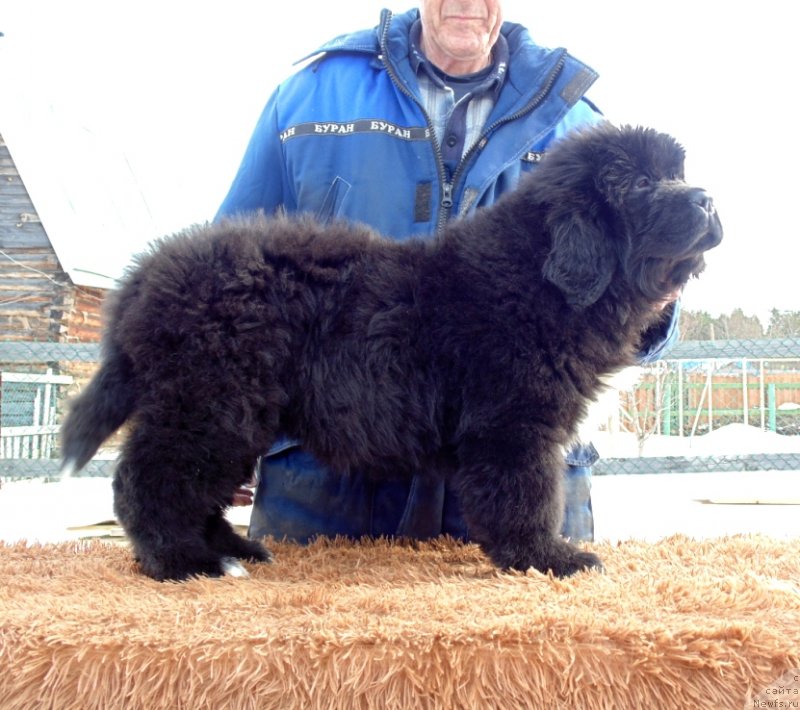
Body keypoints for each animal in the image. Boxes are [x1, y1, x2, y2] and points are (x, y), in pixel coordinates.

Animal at [59, 126, 720, 584]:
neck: (537, 277)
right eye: (639, 185)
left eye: (678, 172)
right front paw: (547, 558)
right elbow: (529, 496)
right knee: (151, 478)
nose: (708, 199)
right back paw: (183, 562)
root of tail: (145, 276)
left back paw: (234, 547)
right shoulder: (512, 423)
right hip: (211, 401)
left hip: (230, 409)